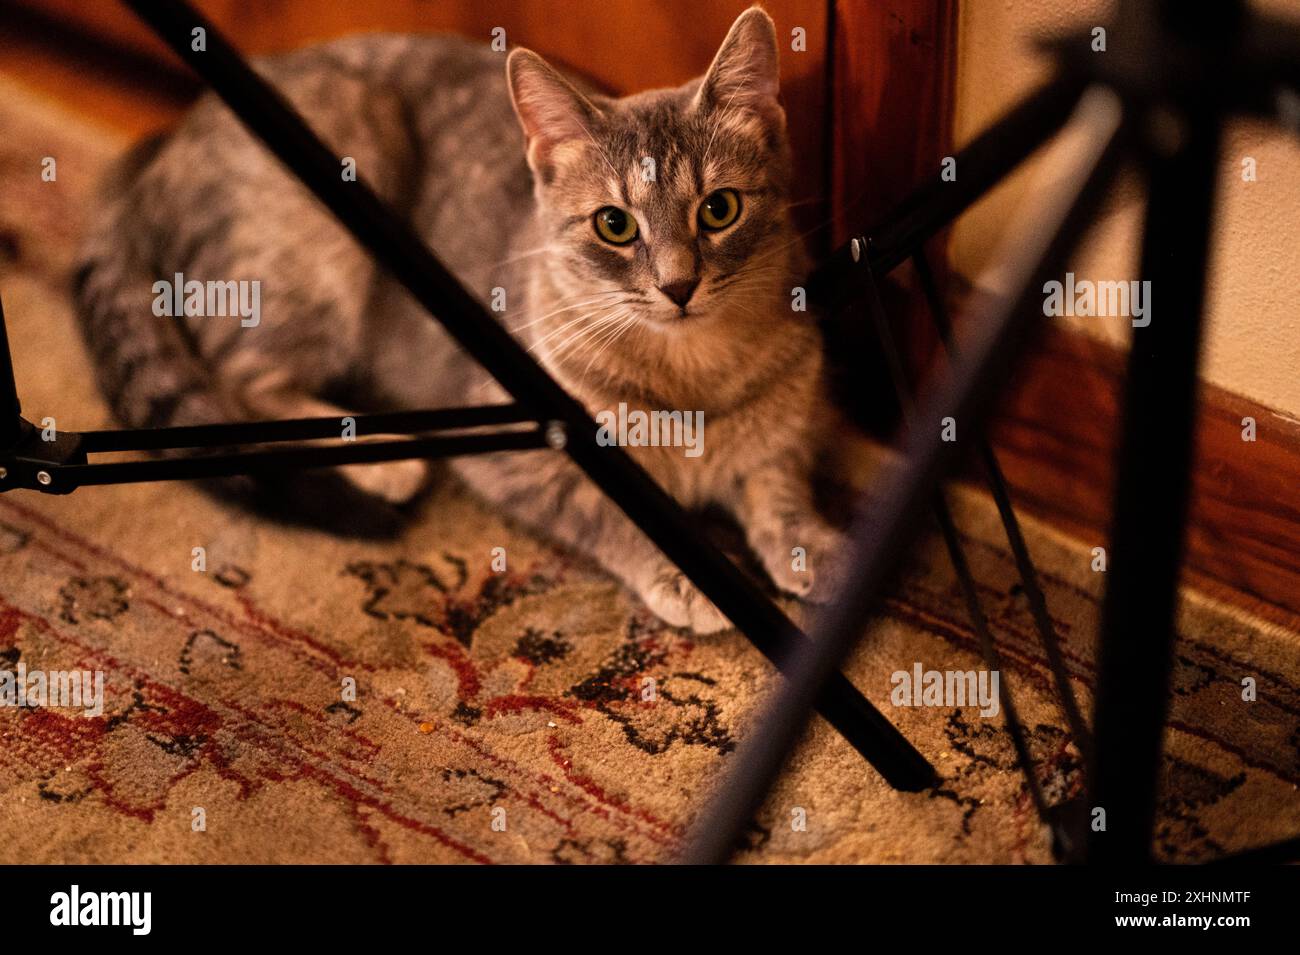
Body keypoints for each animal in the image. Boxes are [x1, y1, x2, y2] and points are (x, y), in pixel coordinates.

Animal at [76, 9, 857, 634]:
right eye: (614, 224)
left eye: (719, 209)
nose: (679, 285)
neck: (690, 371)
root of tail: (160, 147)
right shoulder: (522, 454)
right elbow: (610, 514)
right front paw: (693, 576)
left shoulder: (789, 422)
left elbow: (779, 485)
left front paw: (814, 546)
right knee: (239, 374)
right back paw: (382, 451)